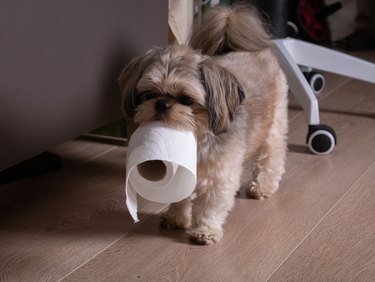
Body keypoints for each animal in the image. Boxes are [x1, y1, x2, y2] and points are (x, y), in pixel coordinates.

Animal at [119, 4, 290, 245]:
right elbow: (179, 198)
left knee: (270, 158)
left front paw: (205, 230)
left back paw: (262, 186)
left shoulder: (218, 178)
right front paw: (176, 218)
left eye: (186, 99)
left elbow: (211, 206)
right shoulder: (179, 172)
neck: (196, 137)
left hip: (273, 128)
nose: (162, 104)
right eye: (150, 94)